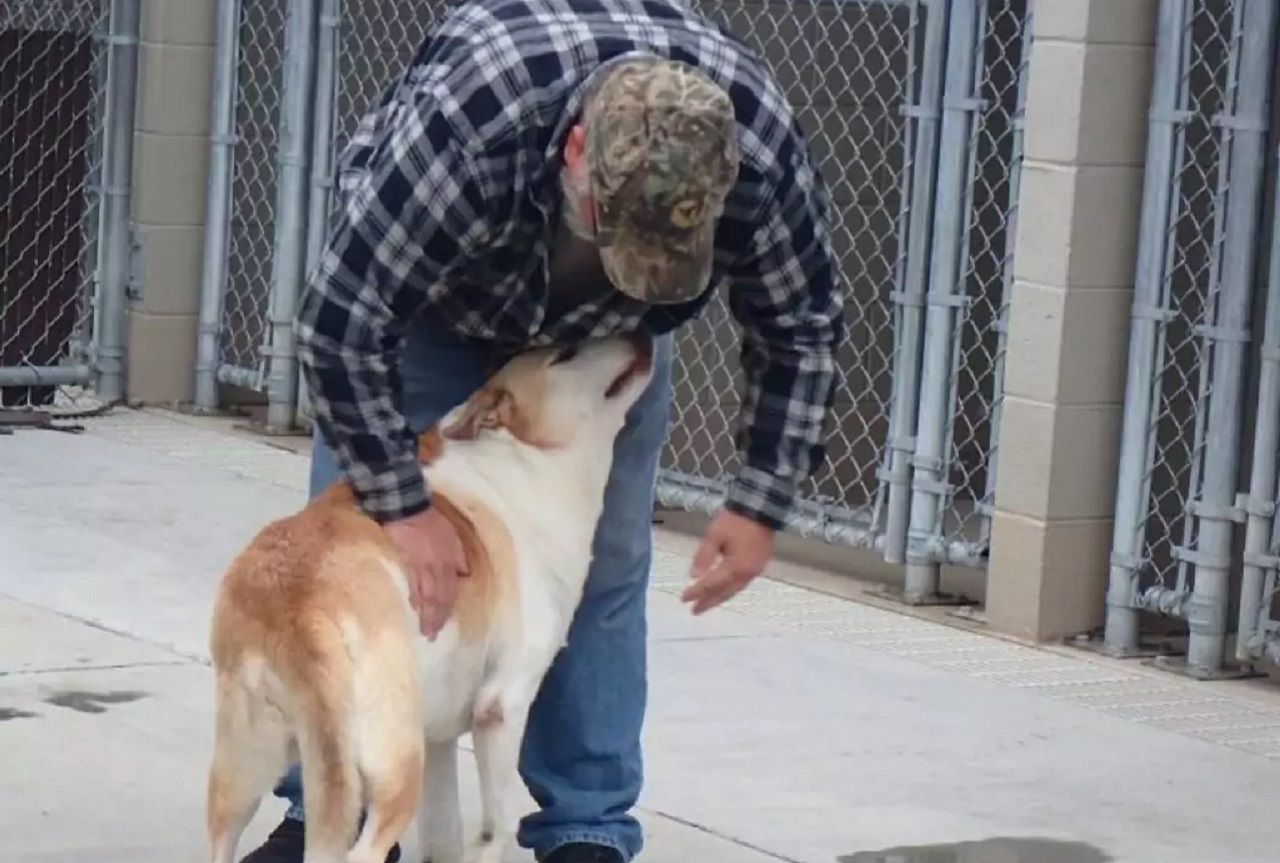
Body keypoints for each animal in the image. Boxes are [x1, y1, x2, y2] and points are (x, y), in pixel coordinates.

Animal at [207, 330, 660, 860]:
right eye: (566, 353)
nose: (644, 331)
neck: (524, 457)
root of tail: (298, 607)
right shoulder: (502, 706)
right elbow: (498, 824)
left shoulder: (441, 737)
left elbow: (445, 833)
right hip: (396, 761)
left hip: (245, 768)